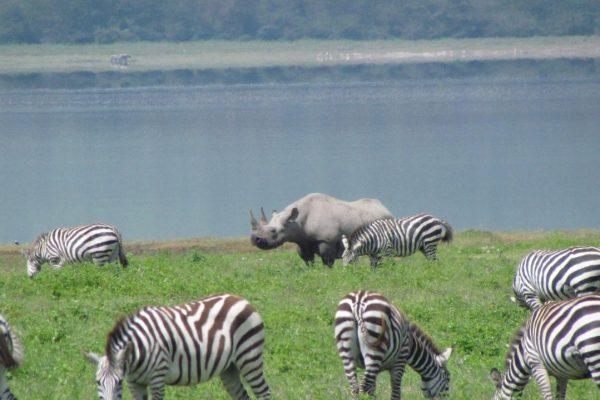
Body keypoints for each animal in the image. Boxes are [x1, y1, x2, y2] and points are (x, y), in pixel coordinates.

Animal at [84, 292, 272, 398]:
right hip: (229, 367)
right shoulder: (135, 383)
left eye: (118, 383)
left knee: (264, 393)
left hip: (249, 358)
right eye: (98, 382)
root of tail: (241, 299)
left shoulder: (157, 378)